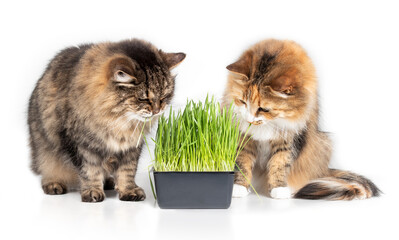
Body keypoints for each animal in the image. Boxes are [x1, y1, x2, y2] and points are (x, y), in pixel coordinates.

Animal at [28, 39, 187, 202]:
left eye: (164, 97)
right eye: (143, 98)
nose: (157, 110)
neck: (119, 122)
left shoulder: (131, 148)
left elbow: (127, 171)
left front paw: (128, 191)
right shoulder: (81, 145)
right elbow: (90, 171)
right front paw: (92, 191)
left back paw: (108, 182)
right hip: (44, 151)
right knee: (47, 170)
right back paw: (54, 184)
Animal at [222, 39, 382, 200]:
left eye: (263, 109)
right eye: (242, 102)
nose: (249, 119)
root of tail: (325, 170)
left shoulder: (289, 139)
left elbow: (279, 163)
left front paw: (279, 189)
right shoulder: (244, 138)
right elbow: (242, 163)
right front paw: (238, 188)